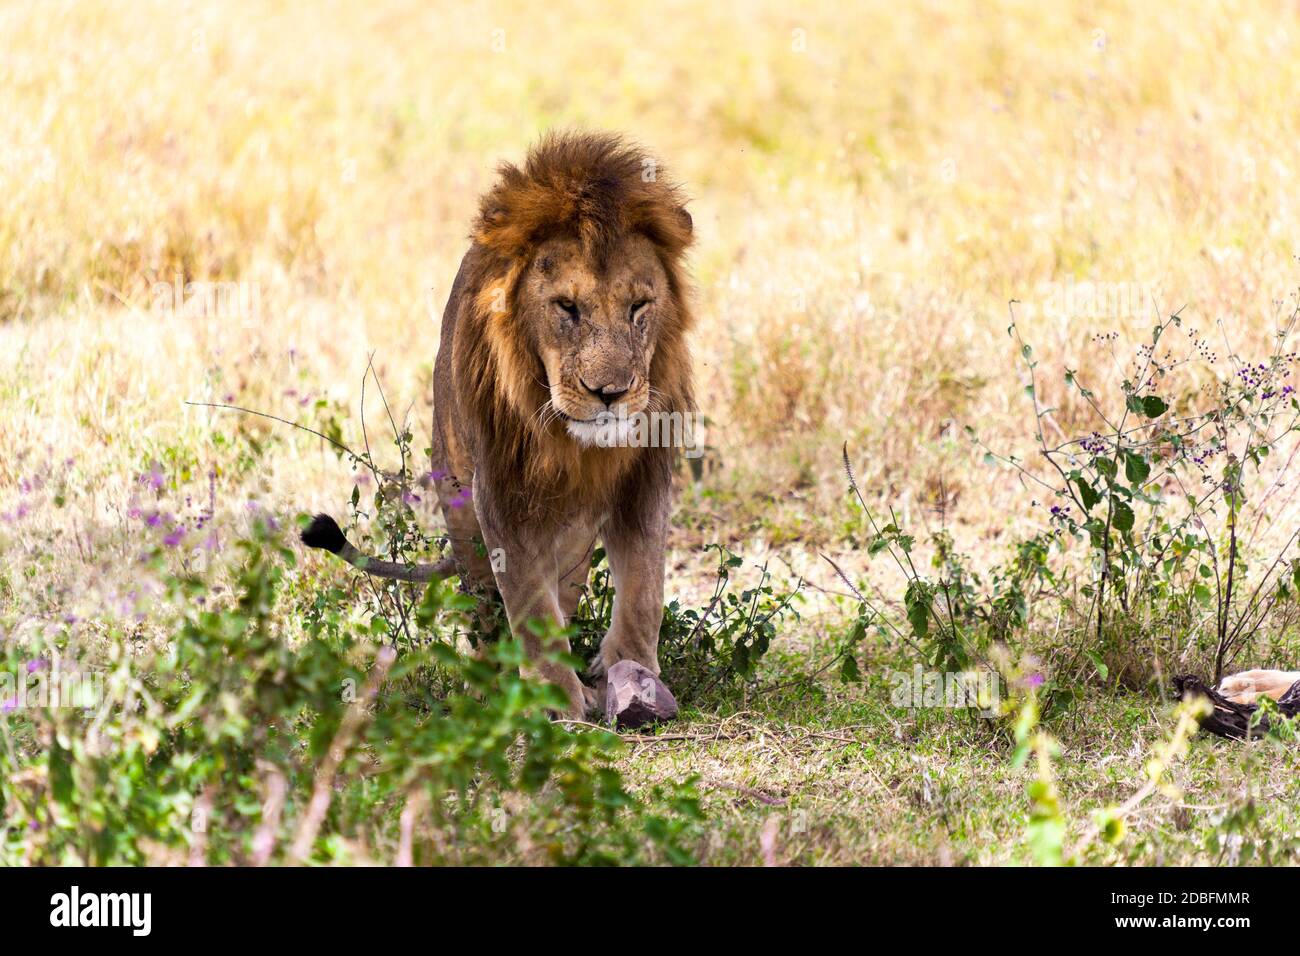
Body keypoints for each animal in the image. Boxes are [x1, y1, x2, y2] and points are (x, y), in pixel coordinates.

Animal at [302, 131, 696, 721]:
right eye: (567, 307)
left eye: (639, 306)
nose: (610, 394)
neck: (574, 444)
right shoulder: (501, 492)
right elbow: (529, 607)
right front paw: (555, 699)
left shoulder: (643, 473)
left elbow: (644, 586)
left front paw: (635, 676)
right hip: (460, 506)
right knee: (486, 608)